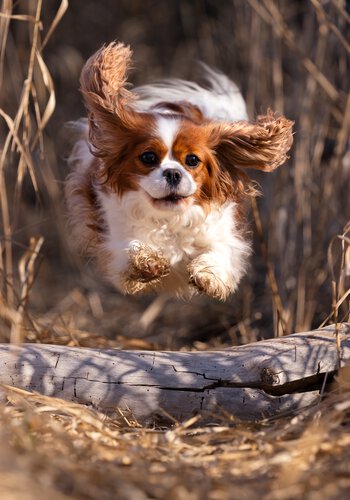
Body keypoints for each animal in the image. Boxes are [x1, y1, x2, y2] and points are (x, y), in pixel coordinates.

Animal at [65, 42, 292, 300]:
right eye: (148, 157)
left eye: (192, 160)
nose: (173, 173)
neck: (170, 219)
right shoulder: (115, 243)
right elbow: (130, 248)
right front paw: (148, 260)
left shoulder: (226, 236)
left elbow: (218, 252)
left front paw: (207, 274)